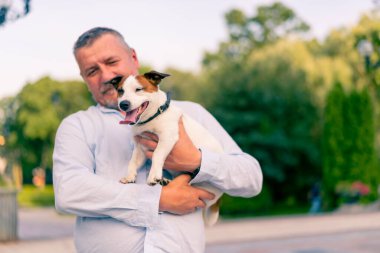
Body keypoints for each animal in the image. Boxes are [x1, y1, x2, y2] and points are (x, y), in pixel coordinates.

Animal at [110, 70, 223, 225]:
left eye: (138, 89)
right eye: (120, 91)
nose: (123, 104)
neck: (151, 118)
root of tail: (218, 199)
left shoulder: (167, 138)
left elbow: (157, 154)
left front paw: (153, 175)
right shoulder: (141, 148)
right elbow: (132, 162)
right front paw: (130, 176)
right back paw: (165, 181)